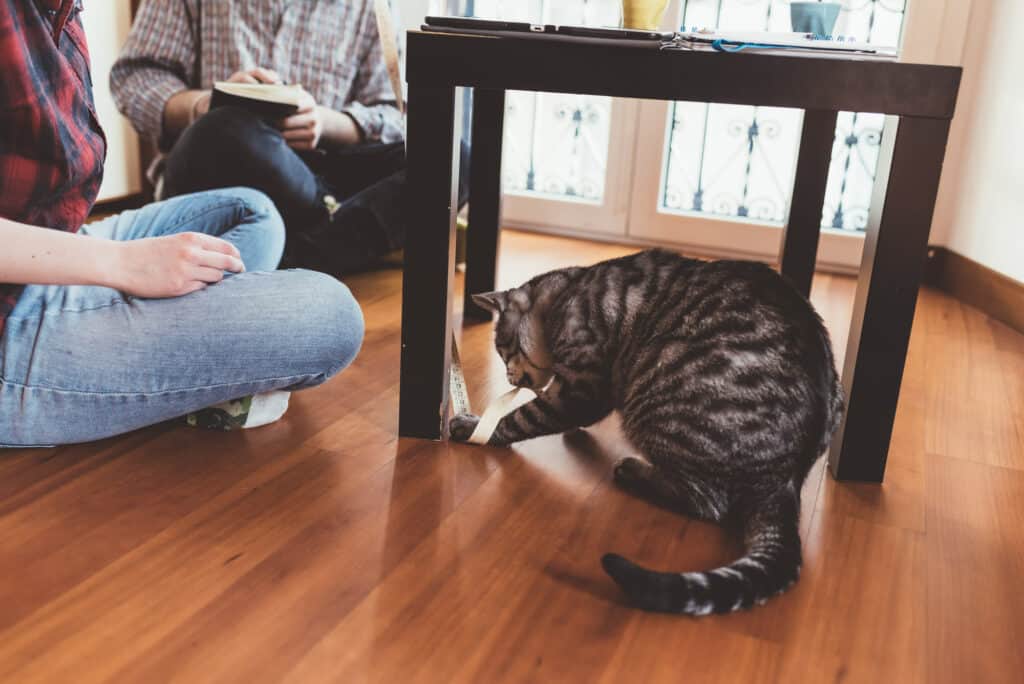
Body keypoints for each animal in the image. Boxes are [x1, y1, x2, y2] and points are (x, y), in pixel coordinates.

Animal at [452, 248, 843, 618]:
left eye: (503, 350)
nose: (509, 378)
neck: (566, 293)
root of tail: (786, 480)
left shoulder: (582, 387)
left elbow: (523, 417)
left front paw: (473, 427)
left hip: (661, 403)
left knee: (708, 502)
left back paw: (633, 472)